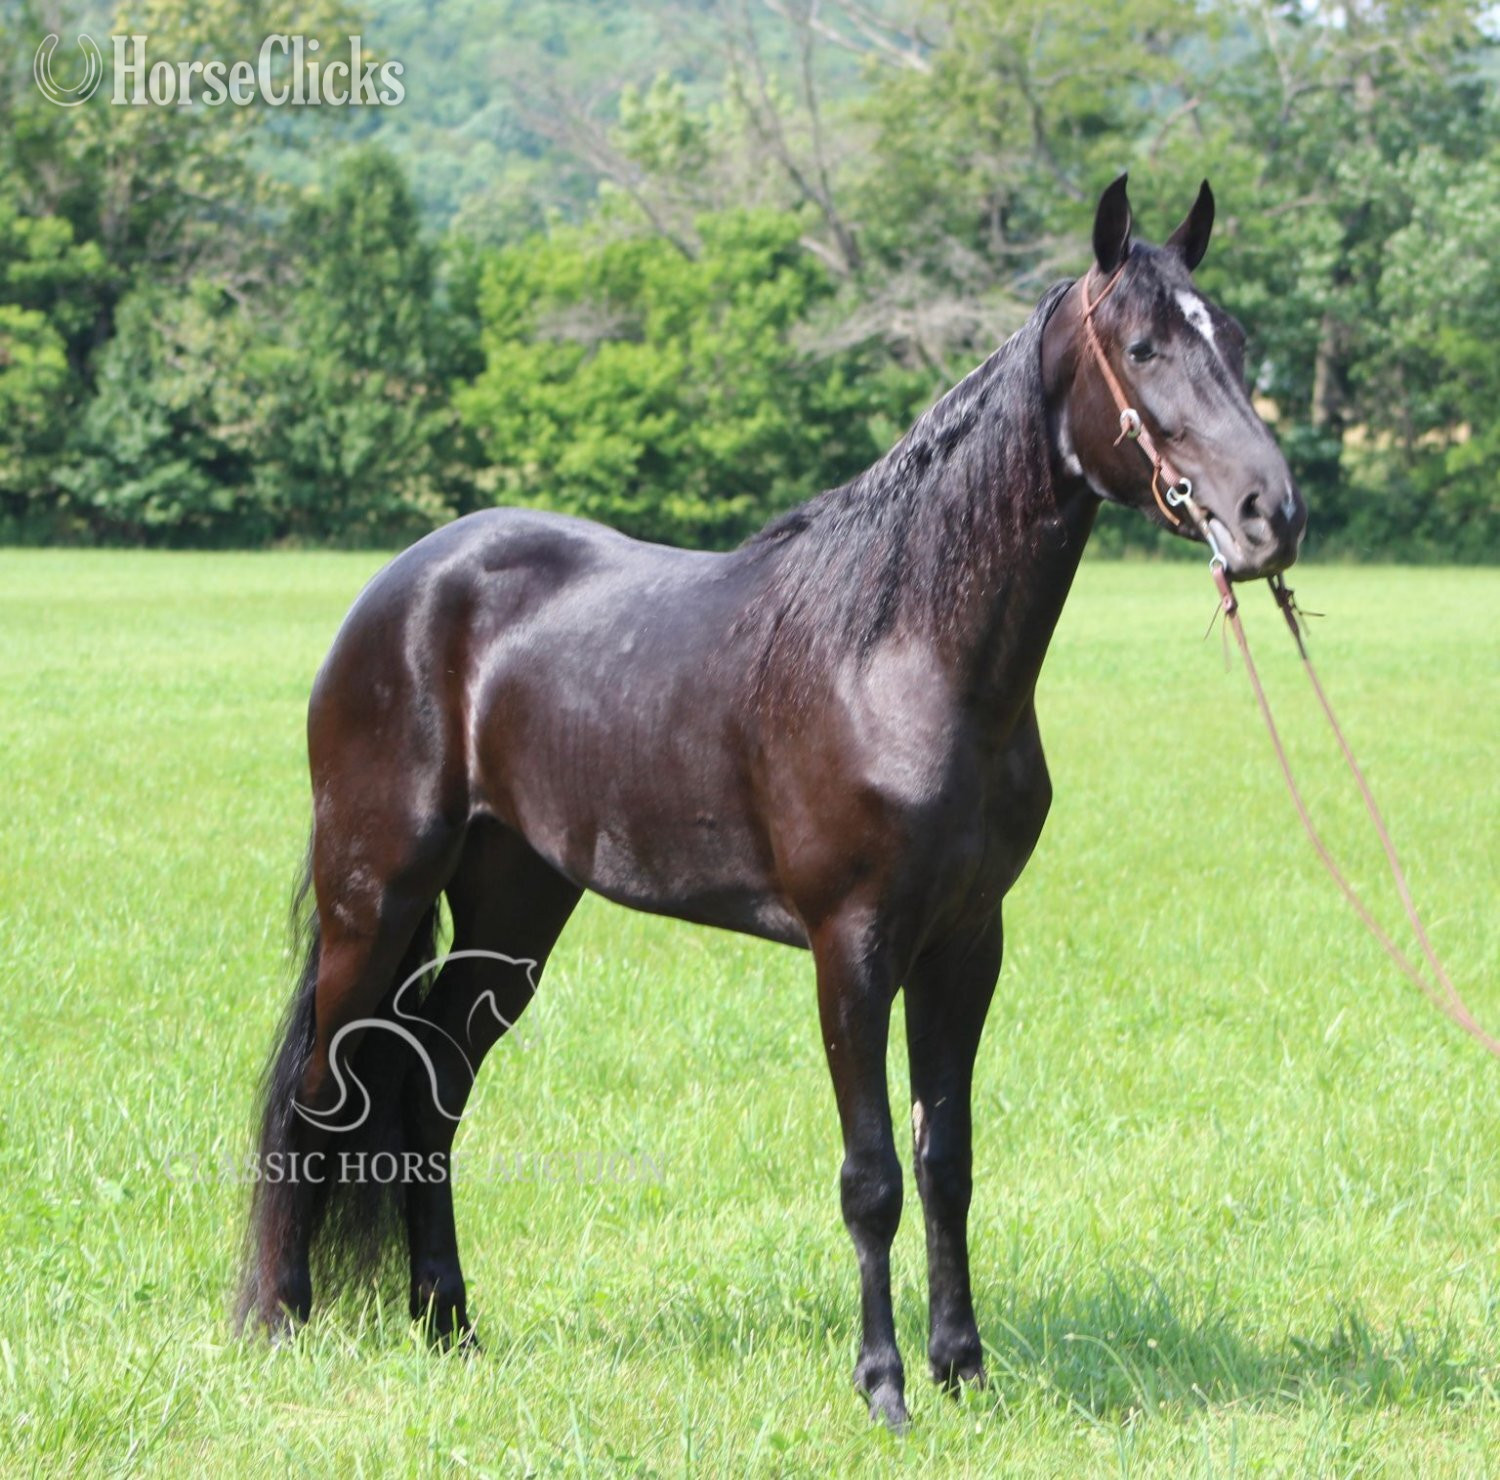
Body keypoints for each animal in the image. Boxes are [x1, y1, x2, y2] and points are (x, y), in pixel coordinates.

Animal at [240, 174, 1307, 1428]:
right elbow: (872, 1175)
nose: (1269, 514)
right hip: (376, 889)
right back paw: (277, 1318)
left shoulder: (966, 942)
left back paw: (448, 1321)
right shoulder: (852, 946)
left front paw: (963, 1368)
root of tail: (403, 584)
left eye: (1235, 339)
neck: (899, 651)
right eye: (1143, 347)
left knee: (432, 1091)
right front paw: (884, 1385)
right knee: (322, 1090)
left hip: (514, 907)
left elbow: (946, 1160)